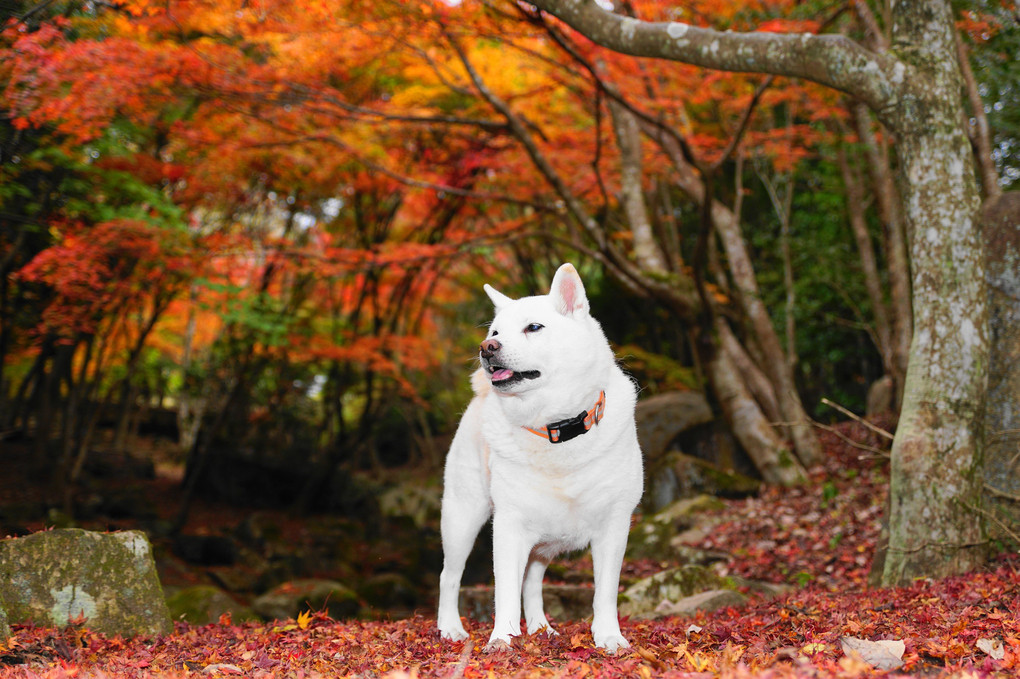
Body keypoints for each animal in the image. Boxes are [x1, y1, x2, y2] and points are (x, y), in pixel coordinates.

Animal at [434, 260, 640, 648]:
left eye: (533, 327)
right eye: (495, 331)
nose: (487, 347)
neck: (555, 428)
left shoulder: (614, 524)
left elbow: (605, 591)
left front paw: (608, 637)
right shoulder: (509, 526)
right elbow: (504, 591)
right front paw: (502, 639)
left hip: (543, 542)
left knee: (531, 582)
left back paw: (541, 628)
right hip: (462, 517)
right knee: (449, 576)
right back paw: (450, 627)